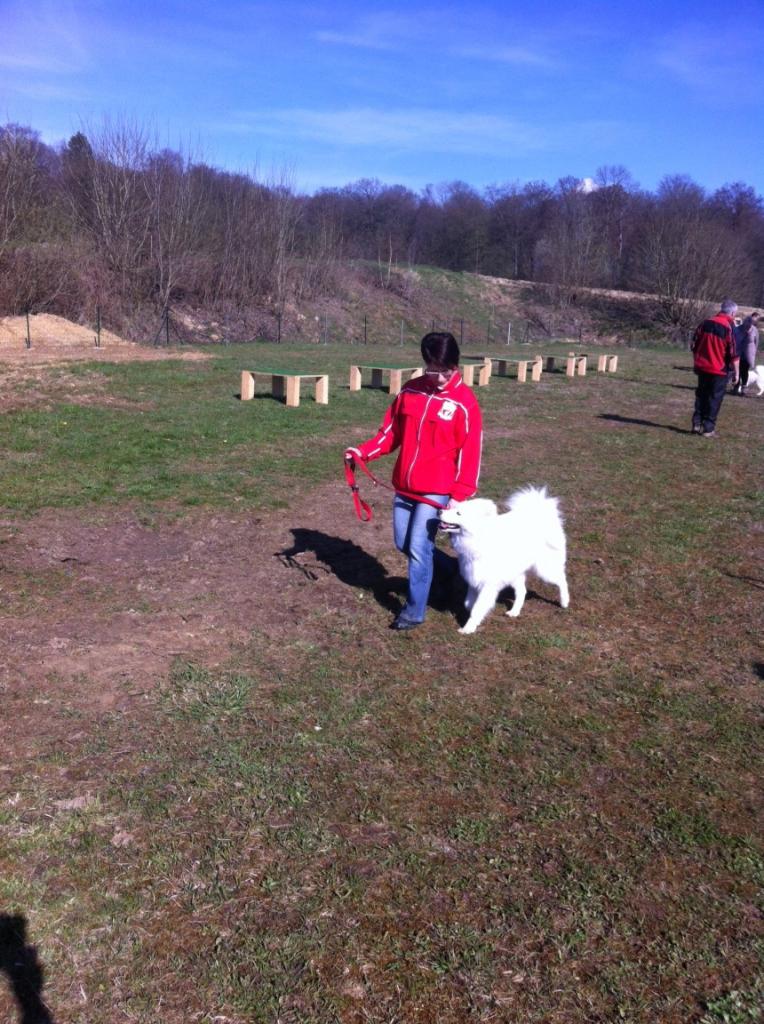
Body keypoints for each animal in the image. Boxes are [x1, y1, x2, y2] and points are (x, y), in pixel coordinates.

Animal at [438, 485, 569, 630]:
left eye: (458, 513)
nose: (439, 511)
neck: (477, 539)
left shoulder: (487, 585)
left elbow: (477, 608)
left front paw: (468, 628)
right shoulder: (473, 579)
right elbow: (468, 603)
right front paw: (473, 612)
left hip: (544, 569)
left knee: (562, 580)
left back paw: (564, 601)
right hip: (515, 574)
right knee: (522, 592)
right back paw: (514, 612)